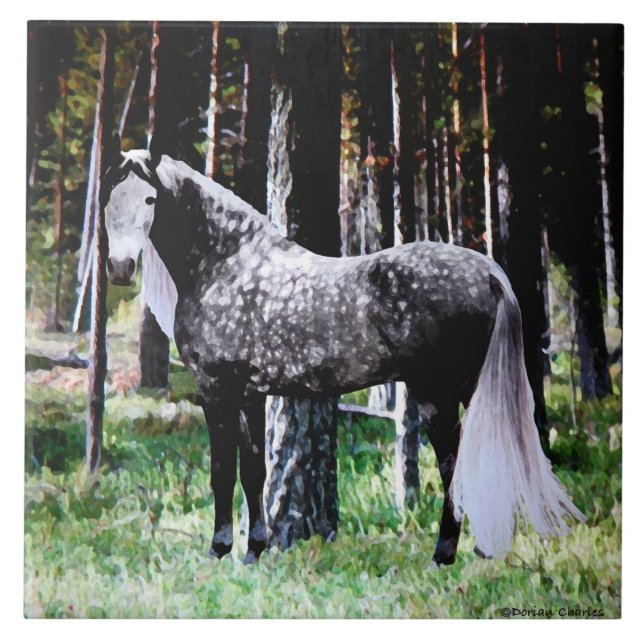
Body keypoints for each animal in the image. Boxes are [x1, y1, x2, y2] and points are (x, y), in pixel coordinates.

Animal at [101, 134, 584, 566]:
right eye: (108, 198)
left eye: (150, 200)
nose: (120, 268)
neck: (225, 264)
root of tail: (487, 271)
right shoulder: (250, 393)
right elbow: (253, 471)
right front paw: (254, 550)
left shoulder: (216, 389)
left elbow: (222, 472)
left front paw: (219, 551)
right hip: (470, 388)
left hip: (437, 396)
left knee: (453, 464)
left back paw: (443, 555)